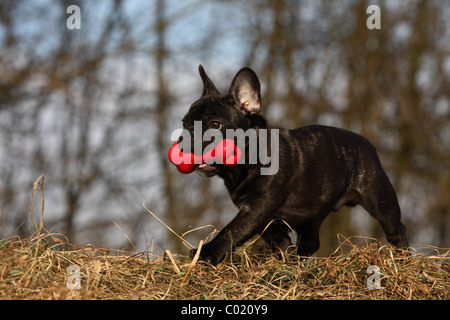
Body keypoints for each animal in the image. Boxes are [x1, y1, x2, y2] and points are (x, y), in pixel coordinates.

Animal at [182, 64, 408, 264]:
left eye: (215, 124)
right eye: (184, 123)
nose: (186, 136)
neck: (243, 164)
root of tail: (366, 143)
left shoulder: (257, 207)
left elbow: (232, 230)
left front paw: (206, 254)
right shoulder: (263, 217)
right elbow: (277, 240)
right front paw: (287, 259)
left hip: (380, 200)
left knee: (396, 228)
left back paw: (403, 257)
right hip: (312, 216)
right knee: (310, 242)